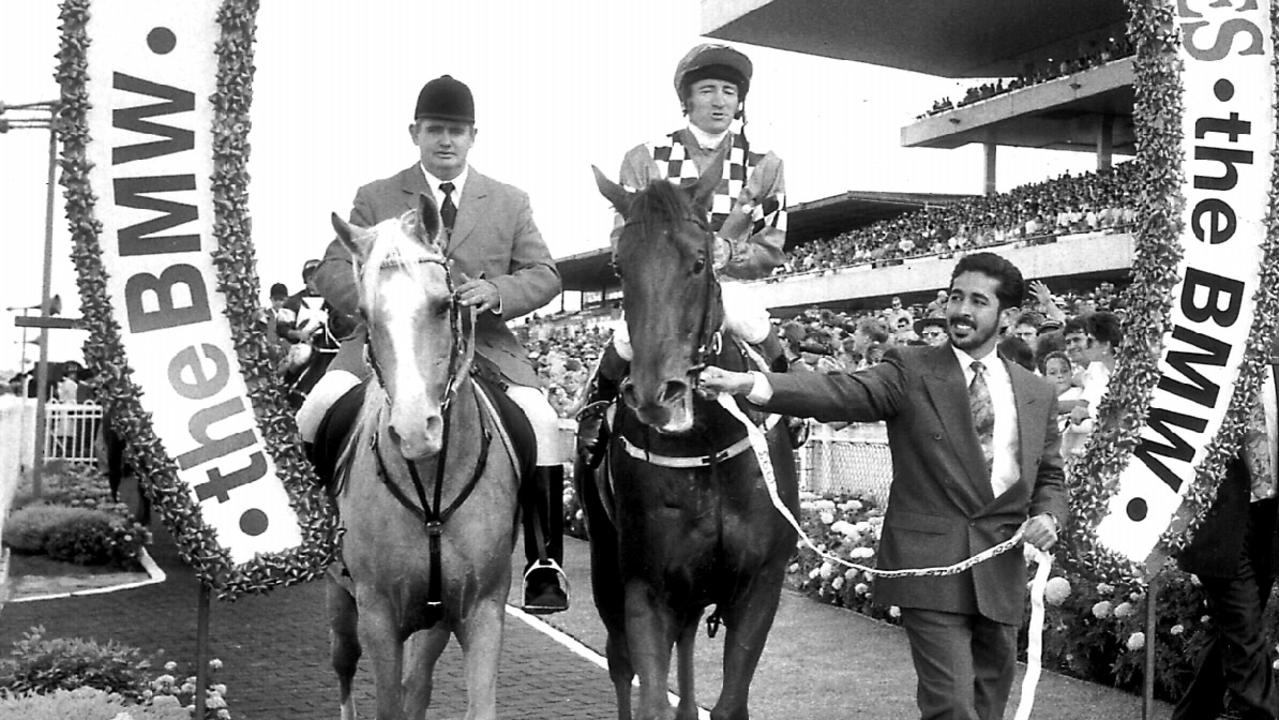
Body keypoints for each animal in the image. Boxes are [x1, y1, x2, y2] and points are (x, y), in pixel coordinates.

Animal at [324, 196, 519, 720]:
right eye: (364, 314)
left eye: (444, 304)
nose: (414, 432)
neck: (432, 484)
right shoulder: (376, 616)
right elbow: (388, 703)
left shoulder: (480, 610)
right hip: (341, 603)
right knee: (344, 665)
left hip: (435, 620)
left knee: (418, 684)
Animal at [585, 163, 798, 720]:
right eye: (618, 267)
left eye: (700, 261)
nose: (658, 395)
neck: (707, 446)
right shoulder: (647, 586)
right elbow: (649, 695)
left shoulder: (761, 583)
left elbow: (730, 703)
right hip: (605, 565)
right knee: (620, 662)